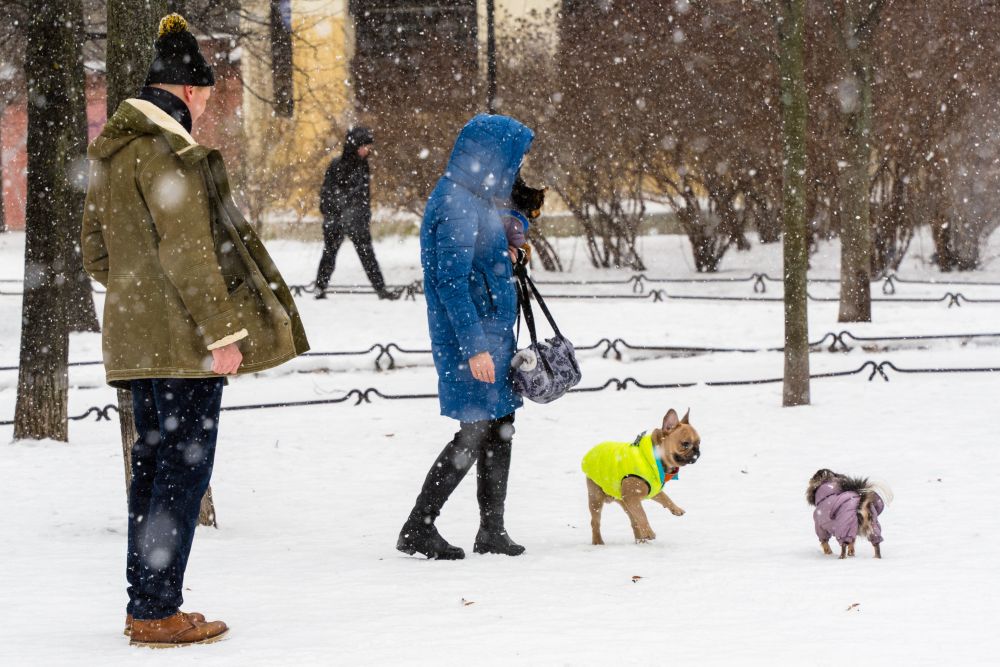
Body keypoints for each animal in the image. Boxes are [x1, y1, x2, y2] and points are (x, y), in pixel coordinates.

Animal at [580, 410, 704, 544]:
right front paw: (649, 532)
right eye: (685, 444)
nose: (697, 451)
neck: (655, 457)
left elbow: (664, 497)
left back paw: (640, 540)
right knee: (596, 522)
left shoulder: (652, 491)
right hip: (596, 498)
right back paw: (598, 541)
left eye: (699, 442)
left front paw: (676, 508)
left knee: (634, 521)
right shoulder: (631, 497)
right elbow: (642, 514)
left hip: (624, 503)